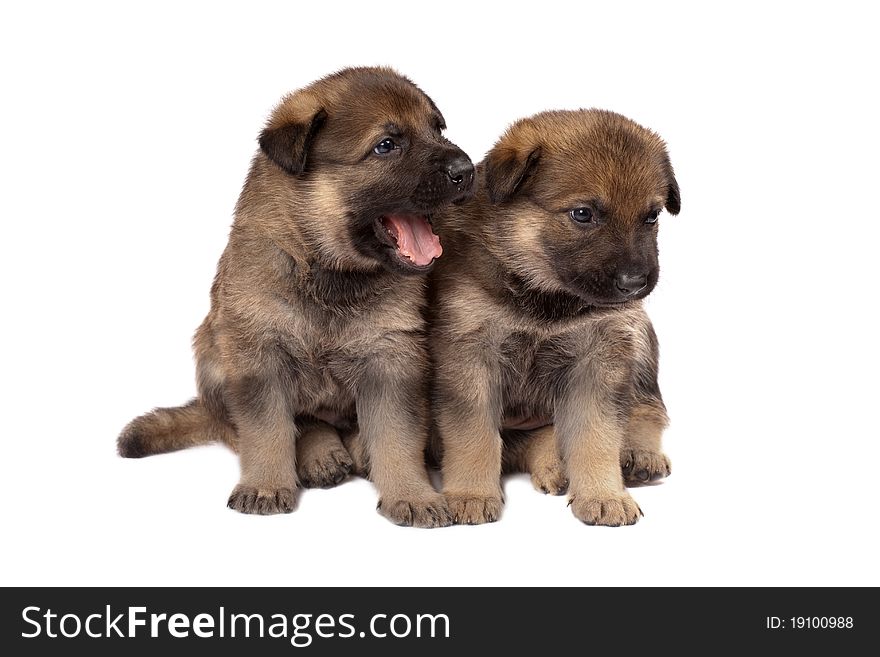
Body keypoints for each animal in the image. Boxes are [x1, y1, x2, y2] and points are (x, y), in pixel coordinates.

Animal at [118, 68, 474, 528]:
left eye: (437, 130)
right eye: (386, 145)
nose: (467, 170)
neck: (328, 272)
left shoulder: (392, 358)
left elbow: (397, 436)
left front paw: (411, 494)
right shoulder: (258, 356)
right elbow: (267, 431)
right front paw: (266, 485)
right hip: (214, 350)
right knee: (274, 425)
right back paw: (318, 453)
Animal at [434, 110, 680, 524]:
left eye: (651, 216)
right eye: (582, 214)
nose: (634, 284)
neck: (545, 299)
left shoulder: (601, 359)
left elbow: (597, 436)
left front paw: (604, 495)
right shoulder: (469, 357)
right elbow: (474, 436)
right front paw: (471, 493)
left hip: (640, 335)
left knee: (648, 407)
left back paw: (638, 454)